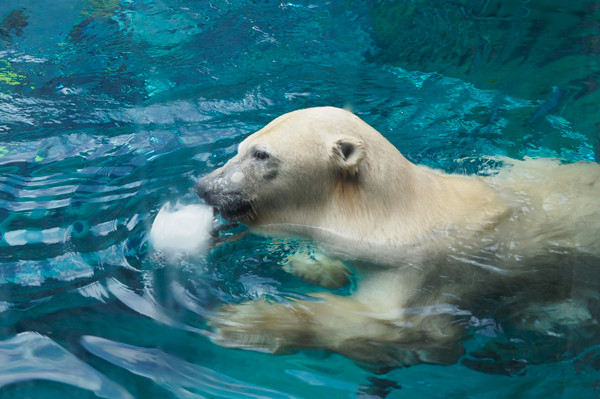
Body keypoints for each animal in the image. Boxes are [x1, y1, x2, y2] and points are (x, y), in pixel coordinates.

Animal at [196, 108, 600, 370]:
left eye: (261, 154)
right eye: (241, 147)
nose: (203, 186)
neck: (391, 217)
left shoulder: (422, 273)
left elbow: (390, 326)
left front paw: (245, 321)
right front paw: (308, 264)